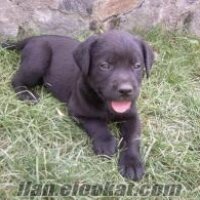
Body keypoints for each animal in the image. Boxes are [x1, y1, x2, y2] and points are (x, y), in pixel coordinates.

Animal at [3, 30, 154, 181]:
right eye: (104, 66)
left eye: (137, 66)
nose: (125, 90)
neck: (105, 104)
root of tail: (34, 38)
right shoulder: (77, 111)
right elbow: (97, 125)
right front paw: (106, 143)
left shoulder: (131, 116)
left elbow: (132, 138)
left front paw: (132, 163)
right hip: (37, 60)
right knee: (16, 80)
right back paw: (27, 95)